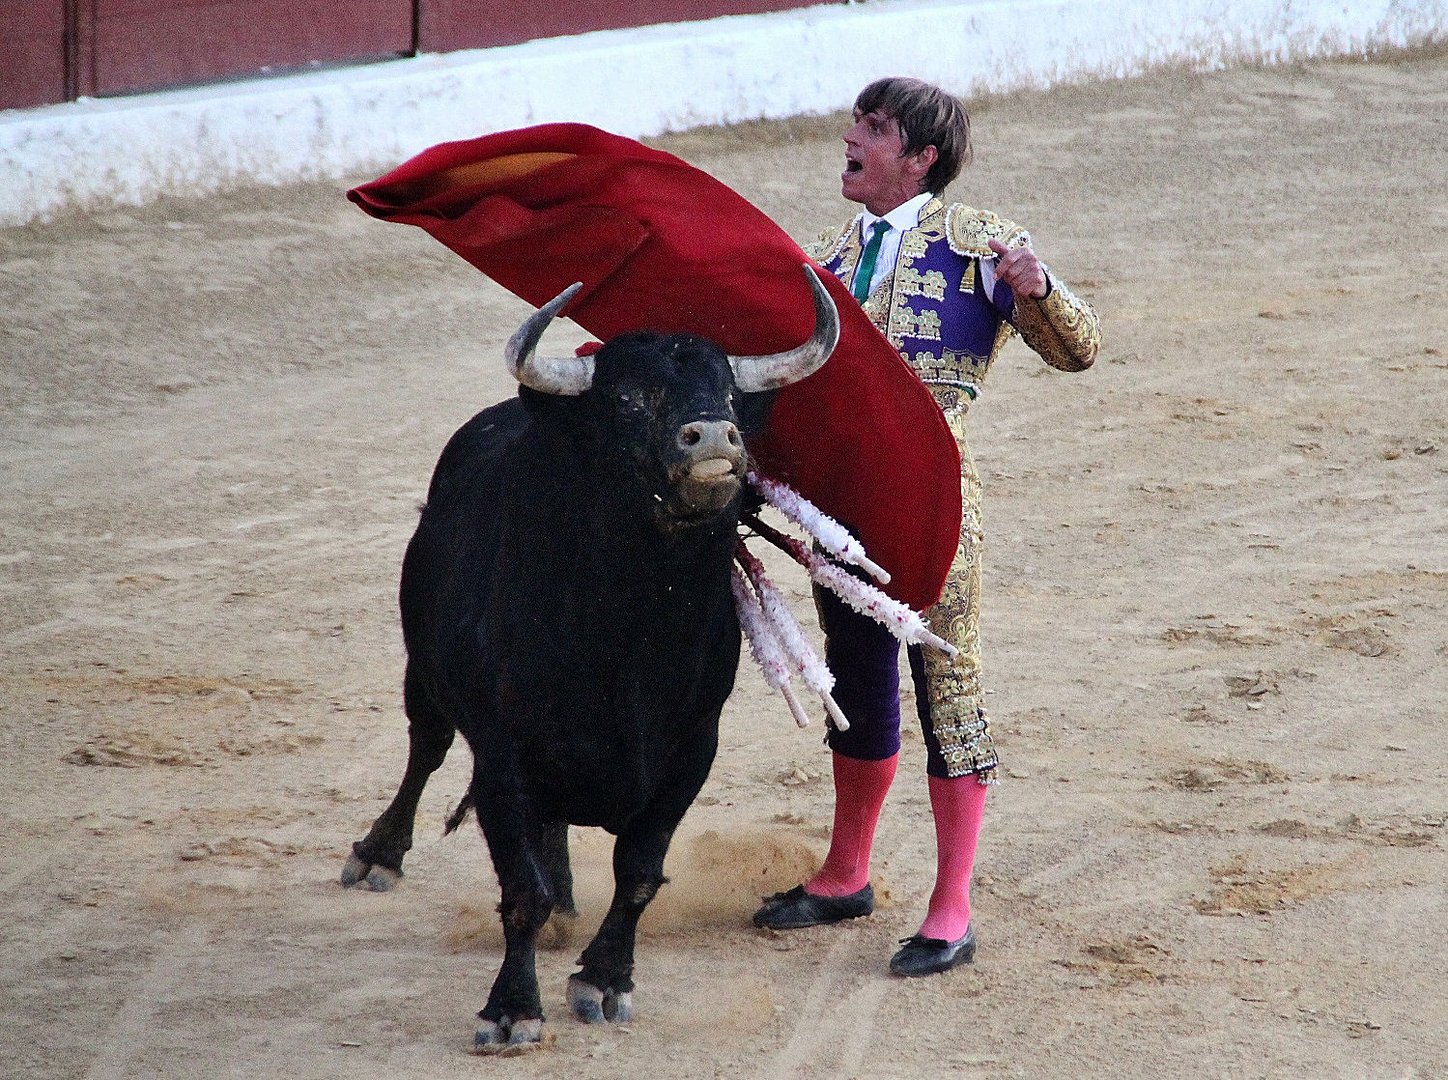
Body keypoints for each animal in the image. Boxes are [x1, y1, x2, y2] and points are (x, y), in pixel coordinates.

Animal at [341, 264, 839, 1048]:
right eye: (628, 398)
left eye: (730, 394)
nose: (713, 437)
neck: (631, 630)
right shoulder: (503, 758)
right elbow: (520, 889)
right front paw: (512, 1009)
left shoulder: (690, 751)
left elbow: (637, 874)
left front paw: (604, 980)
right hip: (422, 672)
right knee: (425, 746)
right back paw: (377, 856)